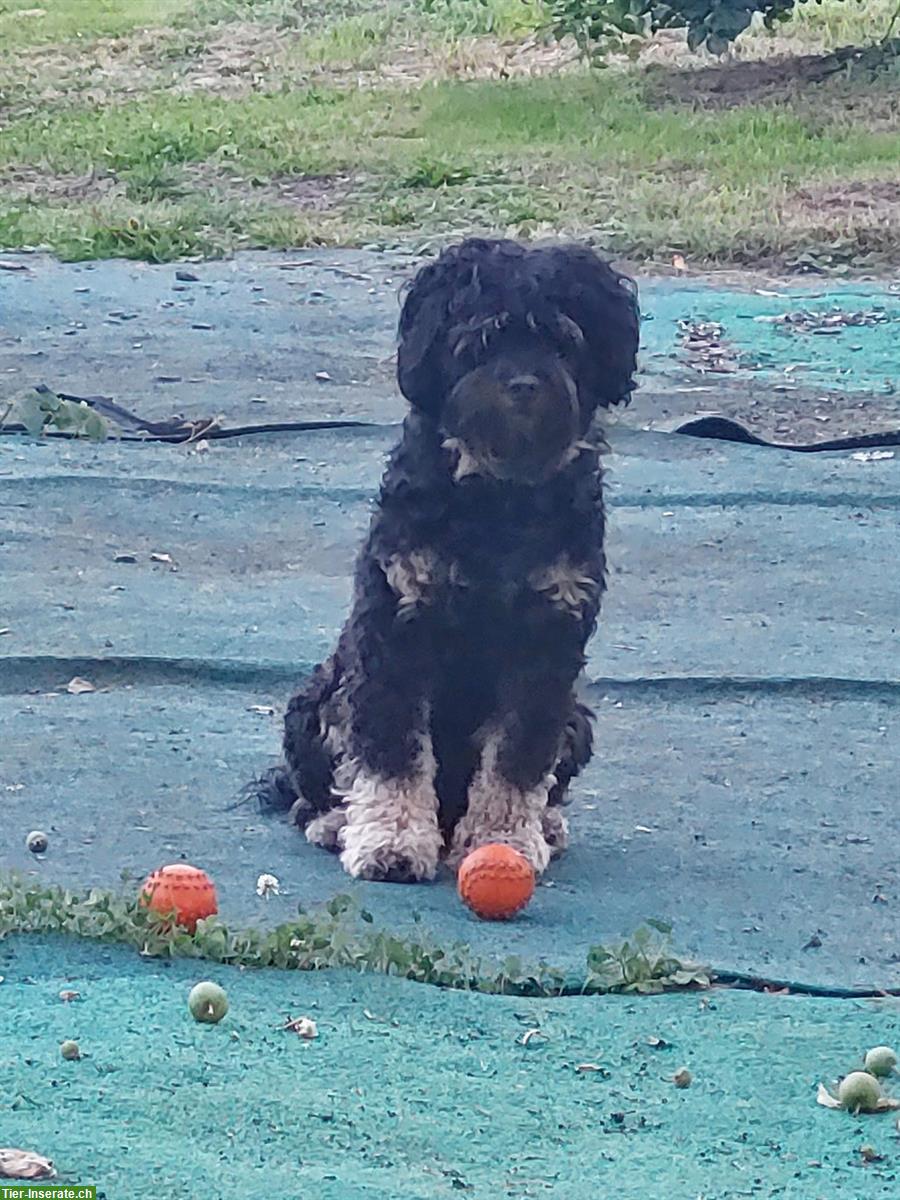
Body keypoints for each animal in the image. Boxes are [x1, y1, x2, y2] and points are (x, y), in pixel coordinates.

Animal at [254, 238, 643, 888]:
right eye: (482, 339)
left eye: (562, 340)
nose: (523, 385)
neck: (497, 496)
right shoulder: (397, 632)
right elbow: (394, 753)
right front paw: (389, 841)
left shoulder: (547, 648)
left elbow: (515, 760)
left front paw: (503, 839)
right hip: (322, 698)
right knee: (314, 786)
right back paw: (335, 820)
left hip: (576, 719)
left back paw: (546, 825)